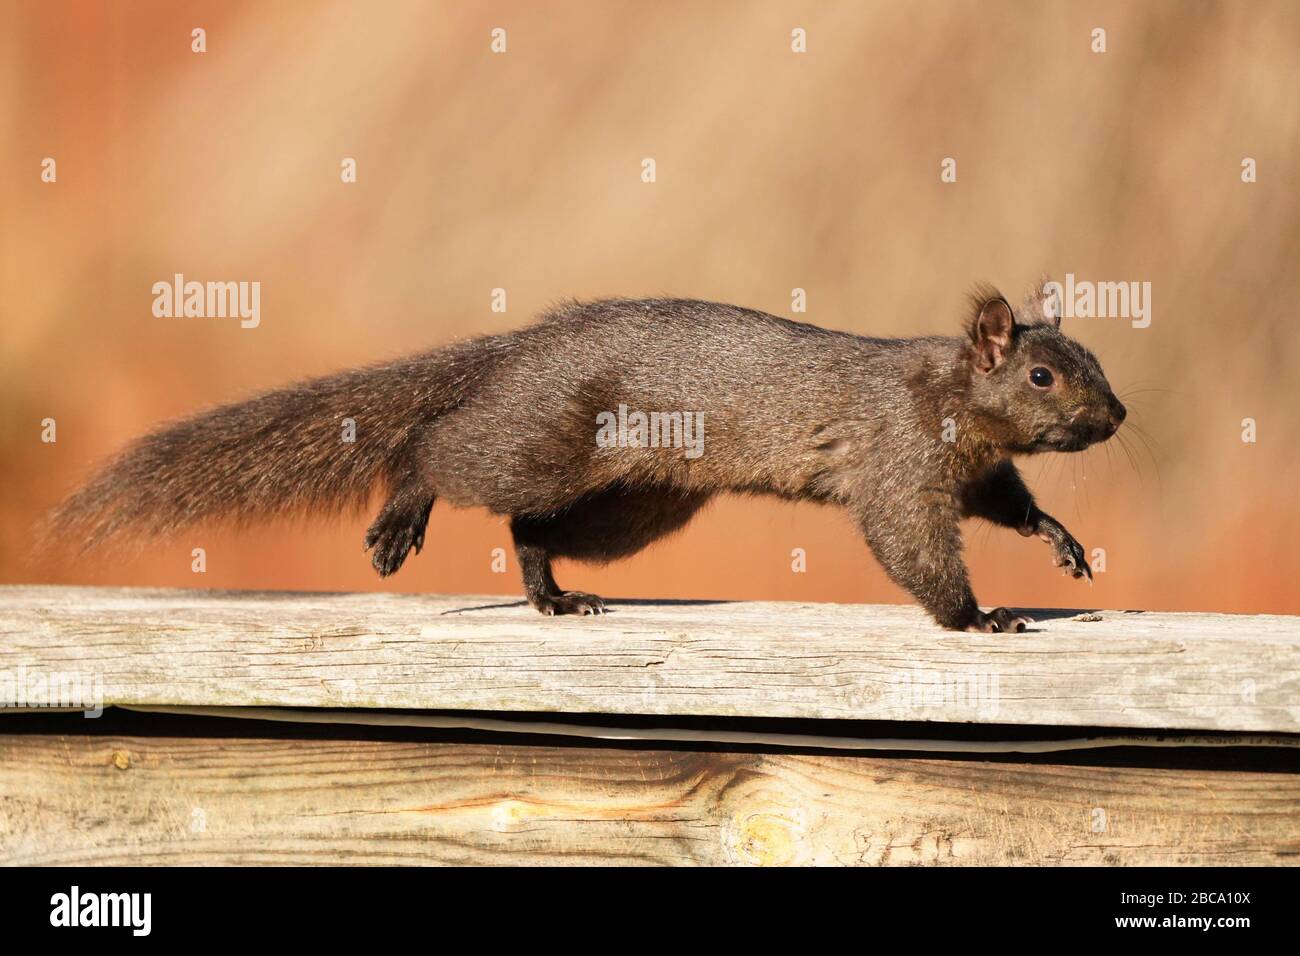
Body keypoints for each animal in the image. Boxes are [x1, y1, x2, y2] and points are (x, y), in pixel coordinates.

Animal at [48, 282, 1125, 632]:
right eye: (1041, 375)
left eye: (1094, 359)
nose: (1116, 415)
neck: (952, 399)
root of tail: (523, 351)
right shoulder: (901, 461)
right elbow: (915, 545)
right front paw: (980, 616)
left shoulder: (974, 469)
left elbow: (1008, 501)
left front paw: (1059, 537)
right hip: (535, 445)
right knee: (442, 451)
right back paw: (401, 518)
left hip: (636, 504)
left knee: (531, 527)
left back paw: (557, 596)